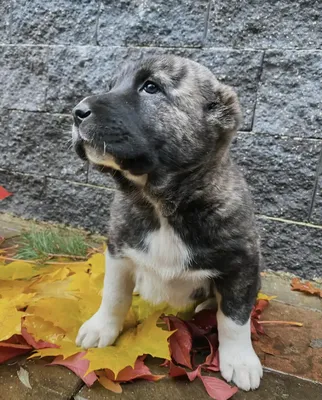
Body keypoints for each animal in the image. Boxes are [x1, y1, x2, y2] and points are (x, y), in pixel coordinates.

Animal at [71, 54, 262, 390]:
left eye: (151, 87)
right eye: (112, 85)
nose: (76, 112)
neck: (159, 203)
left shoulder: (243, 264)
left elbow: (235, 317)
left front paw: (240, 360)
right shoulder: (118, 250)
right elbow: (114, 295)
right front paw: (101, 327)